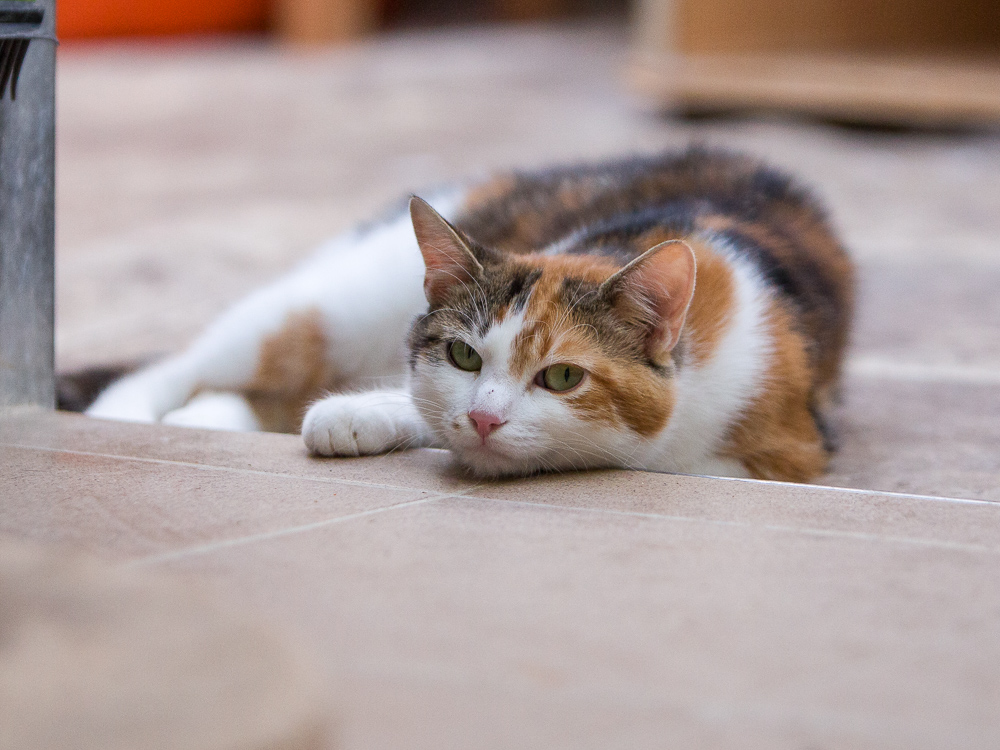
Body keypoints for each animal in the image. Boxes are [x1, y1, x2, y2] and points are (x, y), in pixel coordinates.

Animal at [84, 150, 852, 484]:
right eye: (463, 356)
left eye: (563, 377)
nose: (483, 418)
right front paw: (369, 415)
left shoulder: (784, 450)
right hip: (334, 299)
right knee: (185, 363)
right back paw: (128, 417)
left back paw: (210, 418)